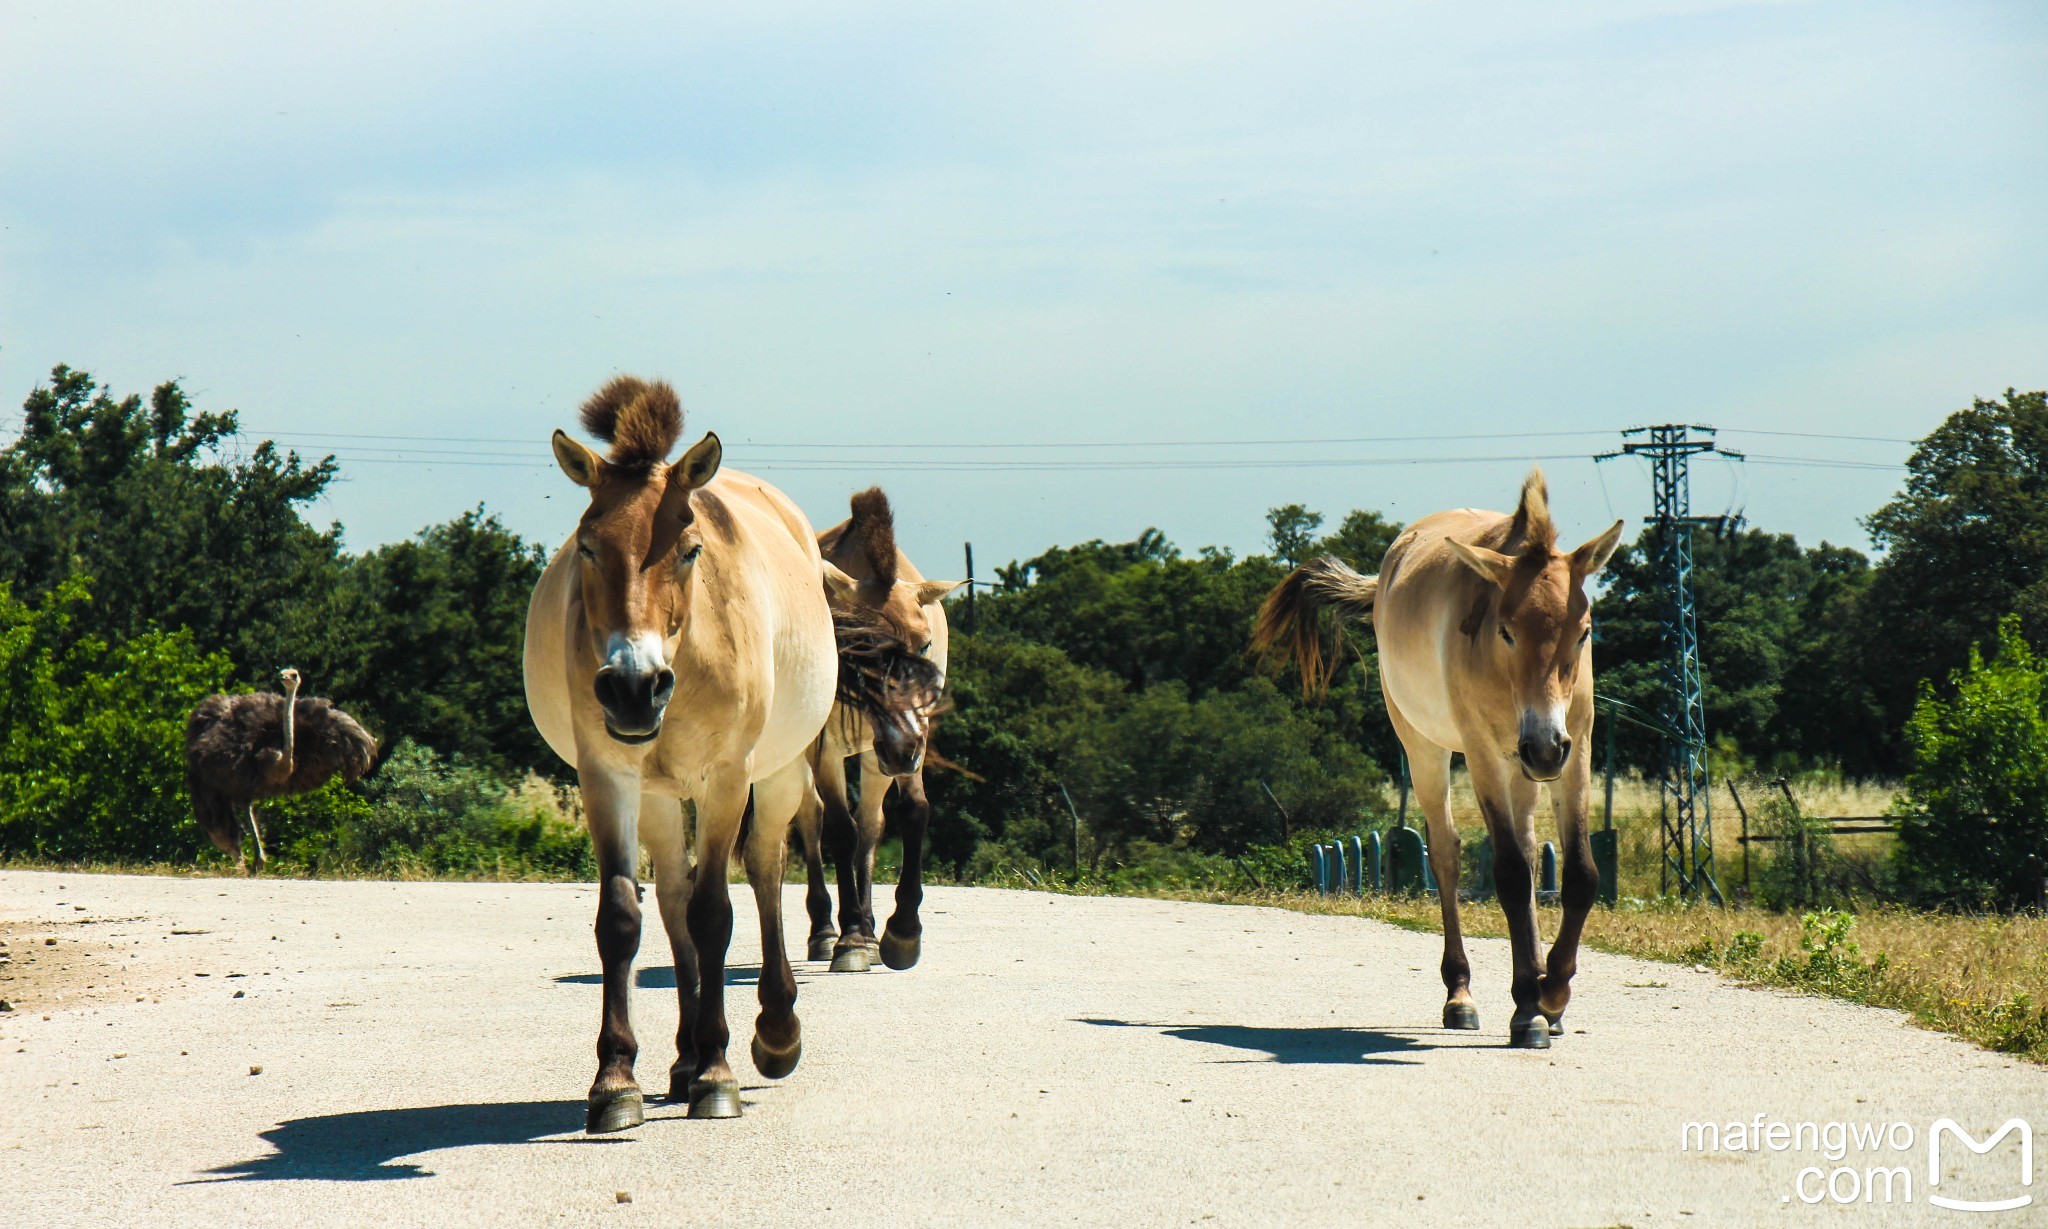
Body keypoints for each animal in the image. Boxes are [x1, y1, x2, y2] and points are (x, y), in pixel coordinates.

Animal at [532, 376, 851, 1130]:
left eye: (688, 549)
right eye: (588, 547)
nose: (633, 687)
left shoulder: (727, 778)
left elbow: (716, 914)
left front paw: (717, 1072)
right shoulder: (608, 778)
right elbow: (624, 917)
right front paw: (615, 1078)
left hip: (778, 772)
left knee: (764, 870)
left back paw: (773, 1031)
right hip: (658, 797)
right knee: (674, 896)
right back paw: (679, 1058)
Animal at [790, 485, 966, 975]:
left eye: (925, 644)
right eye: (861, 647)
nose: (902, 750)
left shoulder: (902, 746)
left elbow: (909, 813)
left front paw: (900, 933)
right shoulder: (827, 750)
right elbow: (839, 829)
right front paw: (849, 938)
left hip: (874, 758)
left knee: (871, 824)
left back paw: (869, 929)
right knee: (811, 820)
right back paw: (826, 932)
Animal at [1253, 469, 1622, 1044]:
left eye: (1583, 632)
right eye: (1506, 631)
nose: (1542, 746)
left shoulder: (1575, 748)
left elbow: (1580, 874)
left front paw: (1553, 994)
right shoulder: (1483, 753)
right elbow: (1509, 874)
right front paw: (1529, 1006)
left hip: (1526, 766)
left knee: (1527, 847)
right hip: (1428, 749)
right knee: (1447, 854)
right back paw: (1461, 995)